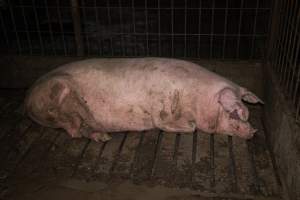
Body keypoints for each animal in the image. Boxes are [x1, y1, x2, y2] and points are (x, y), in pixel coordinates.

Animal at [25, 57, 262, 142]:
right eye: (235, 112)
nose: (253, 130)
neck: (196, 100)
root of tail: (27, 101)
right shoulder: (161, 107)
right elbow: (182, 125)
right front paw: (190, 125)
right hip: (59, 95)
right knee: (73, 129)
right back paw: (103, 136)